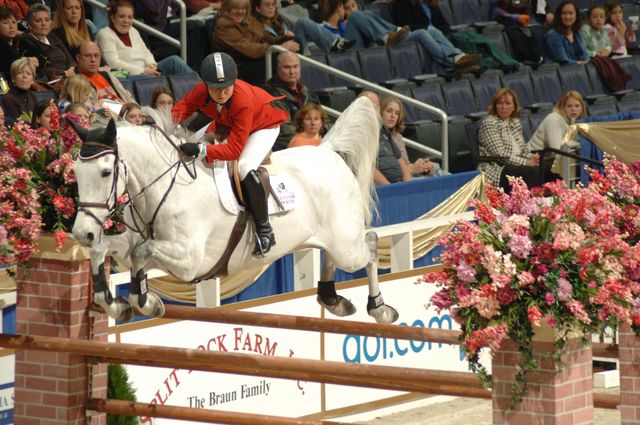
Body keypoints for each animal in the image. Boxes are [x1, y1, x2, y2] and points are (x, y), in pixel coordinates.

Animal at [71, 97, 400, 322]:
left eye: (105, 173)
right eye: (74, 171)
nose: (81, 233)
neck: (166, 185)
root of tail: (328, 151)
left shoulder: (188, 261)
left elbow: (142, 253)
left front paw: (147, 302)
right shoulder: (133, 244)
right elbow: (106, 250)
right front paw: (116, 304)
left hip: (347, 244)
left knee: (370, 245)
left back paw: (380, 308)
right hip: (334, 239)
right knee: (337, 253)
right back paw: (332, 299)